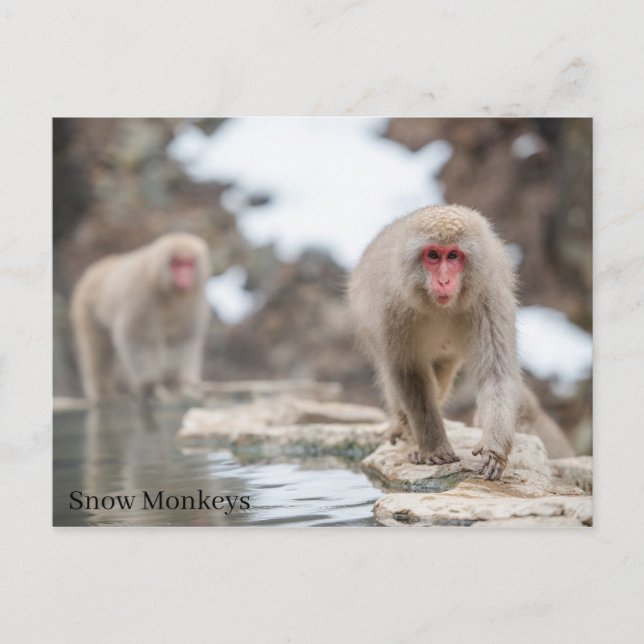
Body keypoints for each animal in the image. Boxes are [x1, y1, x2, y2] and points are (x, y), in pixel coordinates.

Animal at [71, 232, 211, 402]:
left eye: (188, 263)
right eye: (177, 263)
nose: (185, 276)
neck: (168, 291)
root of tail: (94, 269)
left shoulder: (193, 299)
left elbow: (186, 339)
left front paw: (187, 388)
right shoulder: (141, 296)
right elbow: (134, 338)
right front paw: (148, 385)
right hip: (85, 307)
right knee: (100, 350)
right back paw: (103, 394)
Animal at [348, 205, 522, 480]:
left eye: (452, 256)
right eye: (432, 255)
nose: (443, 281)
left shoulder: (489, 298)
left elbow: (496, 372)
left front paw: (494, 451)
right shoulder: (391, 309)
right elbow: (408, 374)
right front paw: (434, 448)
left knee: (441, 374)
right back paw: (406, 430)